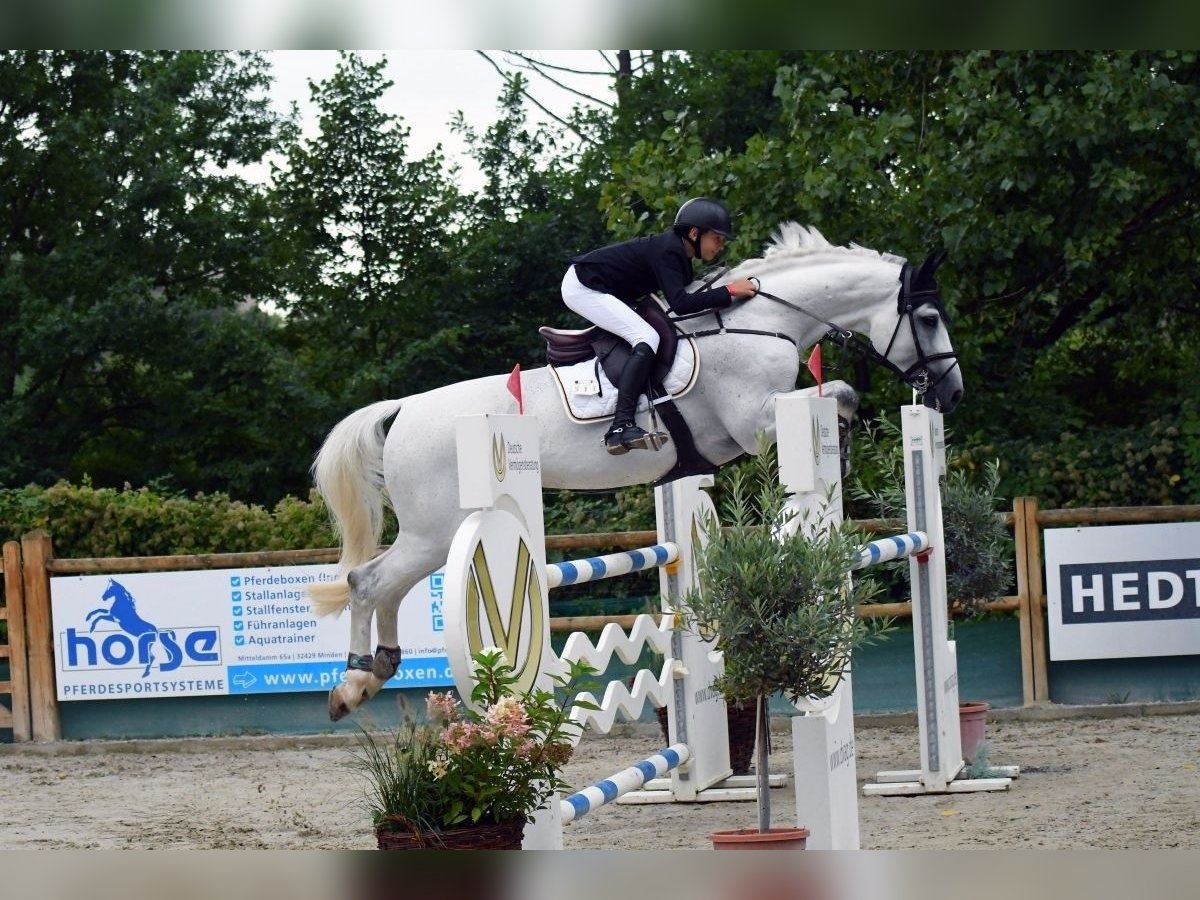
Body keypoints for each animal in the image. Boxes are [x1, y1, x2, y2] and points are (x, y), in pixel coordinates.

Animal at [312, 222, 964, 724]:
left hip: (434, 533)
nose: (951, 394)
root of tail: (403, 410)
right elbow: (842, 392)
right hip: (437, 528)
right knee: (368, 582)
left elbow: (839, 393)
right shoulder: (753, 423)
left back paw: (377, 671)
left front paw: (843, 448)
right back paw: (352, 685)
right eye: (930, 317)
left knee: (388, 585)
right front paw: (842, 445)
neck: (757, 322)